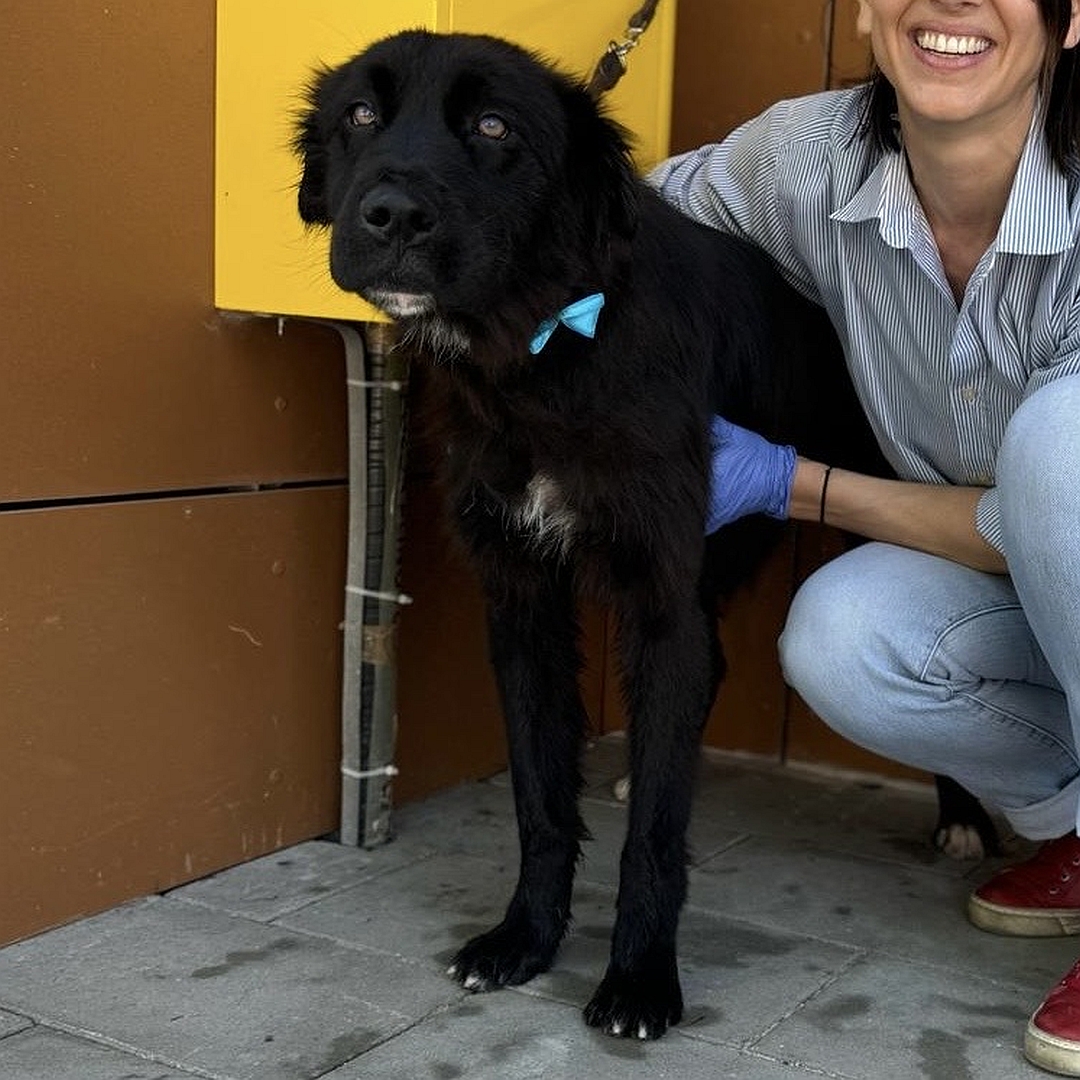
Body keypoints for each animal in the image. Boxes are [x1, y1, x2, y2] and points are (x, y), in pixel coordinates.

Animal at [295, 27, 993, 1036]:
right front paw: (524, 938)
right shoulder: (523, 603)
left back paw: (964, 812)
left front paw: (637, 979)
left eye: (495, 126)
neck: (549, 350)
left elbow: (657, 832)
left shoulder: (661, 593)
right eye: (358, 114)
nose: (389, 215)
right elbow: (541, 799)